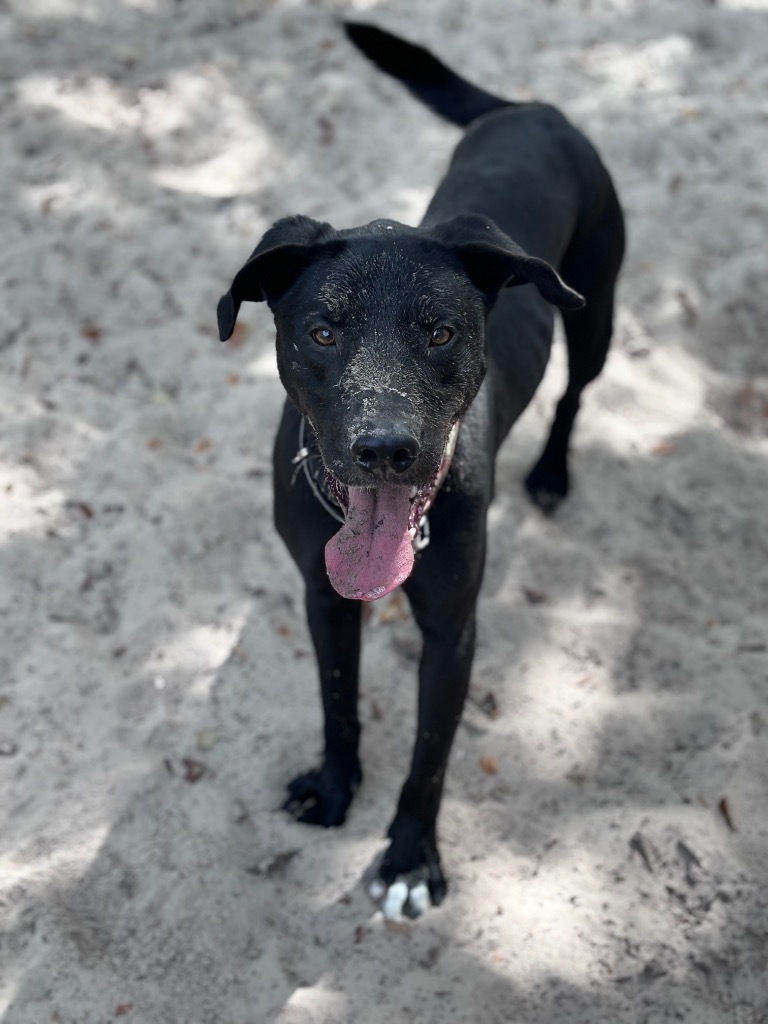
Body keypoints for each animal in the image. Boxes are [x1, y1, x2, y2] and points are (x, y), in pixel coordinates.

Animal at [218, 25, 626, 921]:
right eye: (323, 331)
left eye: (440, 332)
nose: (383, 448)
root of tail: (534, 109)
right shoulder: (322, 597)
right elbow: (338, 701)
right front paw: (335, 789)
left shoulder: (452, 631)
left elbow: (430, 756)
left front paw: (409, 859)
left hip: (597, 310)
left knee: (576, 394)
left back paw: (551, 473)